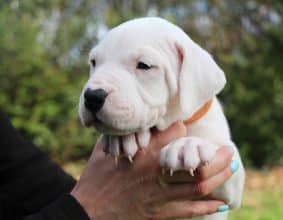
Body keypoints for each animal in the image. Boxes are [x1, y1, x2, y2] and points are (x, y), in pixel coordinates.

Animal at [78, 17, 246, 220]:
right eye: (94, 62)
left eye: (144, 65)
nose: (92, 96)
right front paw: (124, 137)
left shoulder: (228, 186)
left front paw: (188, 145)